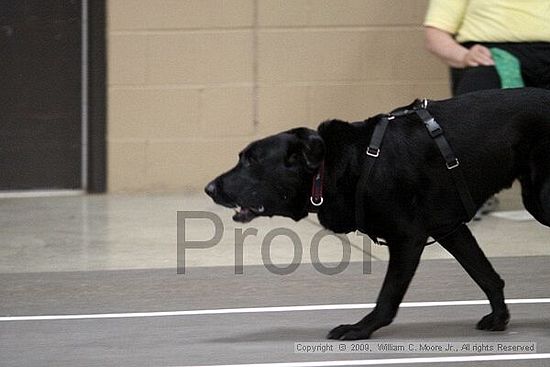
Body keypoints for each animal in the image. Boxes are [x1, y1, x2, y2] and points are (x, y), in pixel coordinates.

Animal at [206, 87, 550, 340]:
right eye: (242, 157)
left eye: (251, 160)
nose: (209, 188)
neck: (335, 166)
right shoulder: (449, 228)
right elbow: (486, 275)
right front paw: (500, 318)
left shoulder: (408, 237)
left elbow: (388, 296)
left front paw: (360, 329)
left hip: (541, 201)